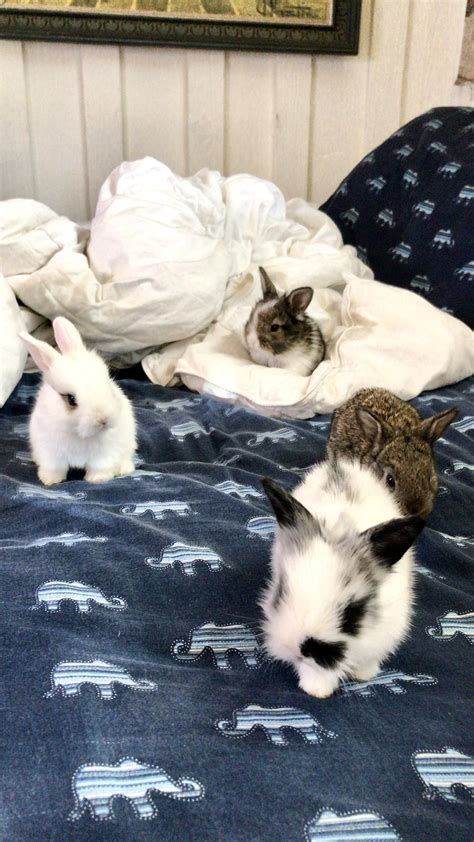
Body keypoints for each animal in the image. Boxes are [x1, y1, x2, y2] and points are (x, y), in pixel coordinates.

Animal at [19, 317, 137, 486]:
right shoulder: (49, 451)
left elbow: (99, 466)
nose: (104, 419)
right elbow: (54, 467)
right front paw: (50, 480)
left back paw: (123, 469)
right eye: (71, 399)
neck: (78, 433)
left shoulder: (104, 453)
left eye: (107, 381)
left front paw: (98, 479)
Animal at [260, 458, 425, 699]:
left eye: (351, 613)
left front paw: (363, 676)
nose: (298, 650)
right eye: (281, 593)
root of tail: (340, 465)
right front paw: (316, 690)